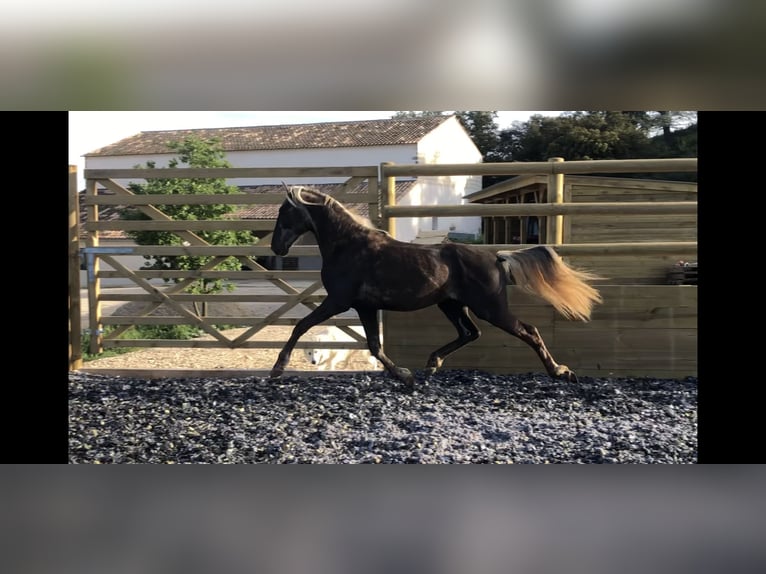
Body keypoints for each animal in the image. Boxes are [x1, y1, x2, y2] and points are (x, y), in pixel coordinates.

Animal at [269, 185, 602, 390]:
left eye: (284, 213)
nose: (276, 248)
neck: (348, 246)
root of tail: (496, 257)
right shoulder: (365, 306)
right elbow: (374, 346)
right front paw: (406, 377)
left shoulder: (338, 301)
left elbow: (301, 326)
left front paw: (277, 369)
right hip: (452, 304)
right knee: (470, 333)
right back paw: (431, 365)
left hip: (490, 308)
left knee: (528, 331)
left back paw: (562, 372)